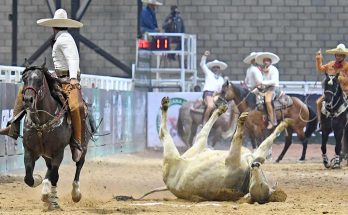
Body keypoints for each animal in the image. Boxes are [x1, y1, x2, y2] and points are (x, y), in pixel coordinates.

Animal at [158, 96, 288, 203]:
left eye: (261, 184)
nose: (255, 165)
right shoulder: (256, 155)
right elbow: (266, 143)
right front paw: (282, 125)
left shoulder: (232, 158)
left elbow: (237, 137)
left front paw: (241, 121)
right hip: (197, 148)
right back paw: (221, 108)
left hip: (175, 153)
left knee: (164, 133)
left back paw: (165, 105)